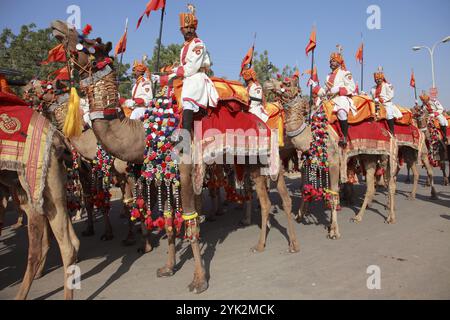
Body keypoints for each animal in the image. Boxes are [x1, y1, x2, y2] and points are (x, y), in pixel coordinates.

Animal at [50, 19, 298, 292]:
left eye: (89, 42)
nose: (58, 26)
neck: (144, 132)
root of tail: (262, 121)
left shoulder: (186, 172)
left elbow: (191, 222)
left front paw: (199, 280)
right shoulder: (166, 177)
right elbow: (169, 224)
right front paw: (168, 268)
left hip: (269, 157)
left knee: (282, 196)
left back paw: (293, 244)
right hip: (249, 161)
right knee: (264, 201)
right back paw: (261, 245)